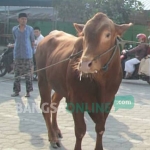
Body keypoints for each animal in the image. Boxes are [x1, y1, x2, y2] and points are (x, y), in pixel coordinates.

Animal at [35, 12, 131, 150]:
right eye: (84, 34)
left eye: (107, 34)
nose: (85, 64)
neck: (101, 82)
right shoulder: (76, 100)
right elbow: (80, 130)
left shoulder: (108, 101)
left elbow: (100, 128)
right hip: (43, 79)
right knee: (46, 107)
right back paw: (52, 138)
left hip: (60, 85)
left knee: (54, 103)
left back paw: (56, 130)